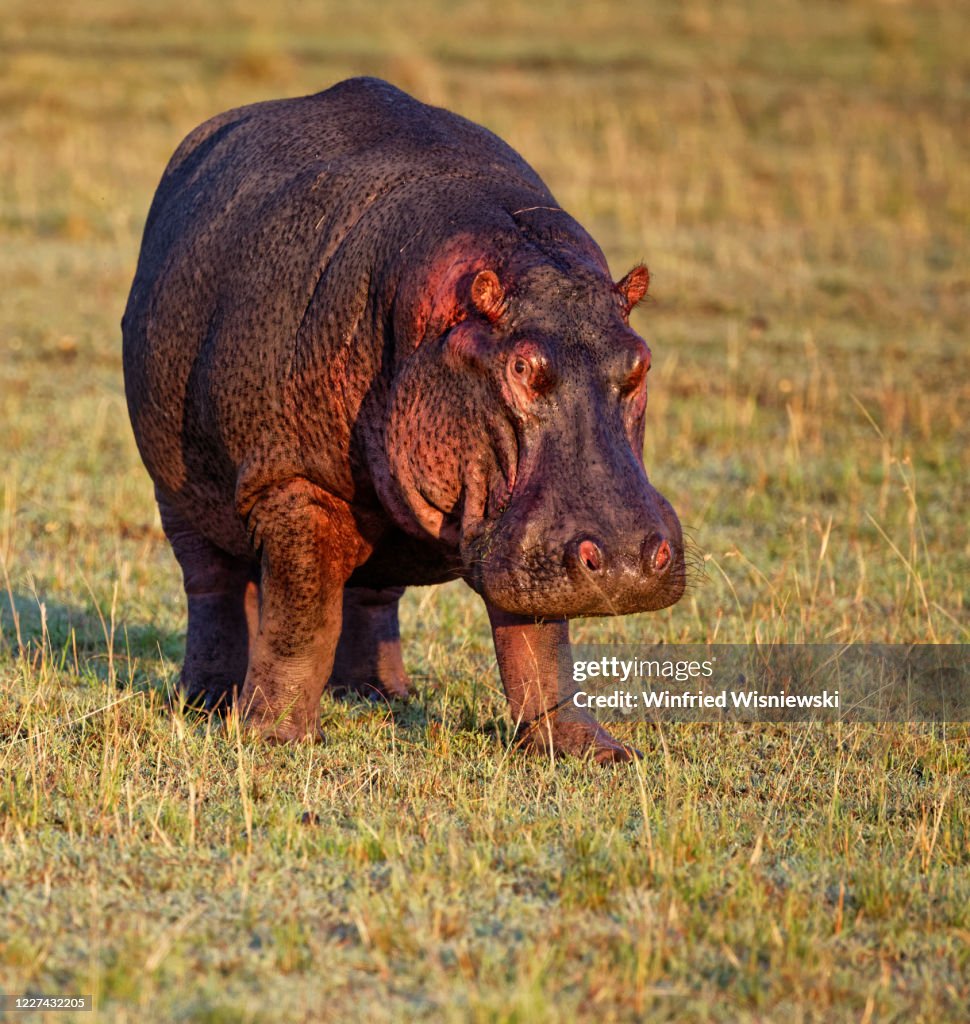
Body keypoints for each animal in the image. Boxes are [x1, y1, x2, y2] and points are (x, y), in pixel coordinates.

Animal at [123, 77, 684, 761]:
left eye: (641, 360)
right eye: (521, 366)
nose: (629, 559)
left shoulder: (525, 537)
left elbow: (539, 644)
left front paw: (593, 752)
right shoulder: (294, 482)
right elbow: (303, 616)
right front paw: (272, 739)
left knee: (368, 595)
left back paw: (378, 696)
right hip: (176, 495)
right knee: (214, 587)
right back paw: (205, 700)